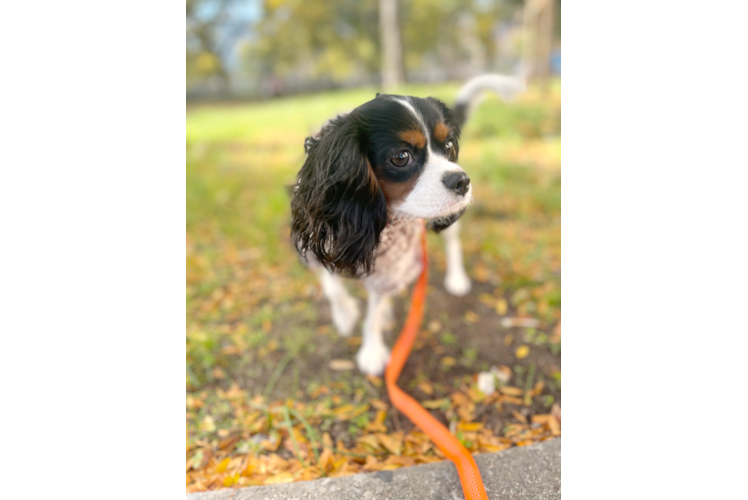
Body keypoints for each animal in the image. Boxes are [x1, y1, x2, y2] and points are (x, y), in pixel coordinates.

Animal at [290, 74, 524, 376]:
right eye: (401, 157)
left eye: (449, 146)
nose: (462, 180)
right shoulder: (316, 237)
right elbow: (331, 283)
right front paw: (345, 314)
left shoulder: (390, 269)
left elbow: (373, 310)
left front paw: (372, 350)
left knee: (452, 241)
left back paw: (456, 278)